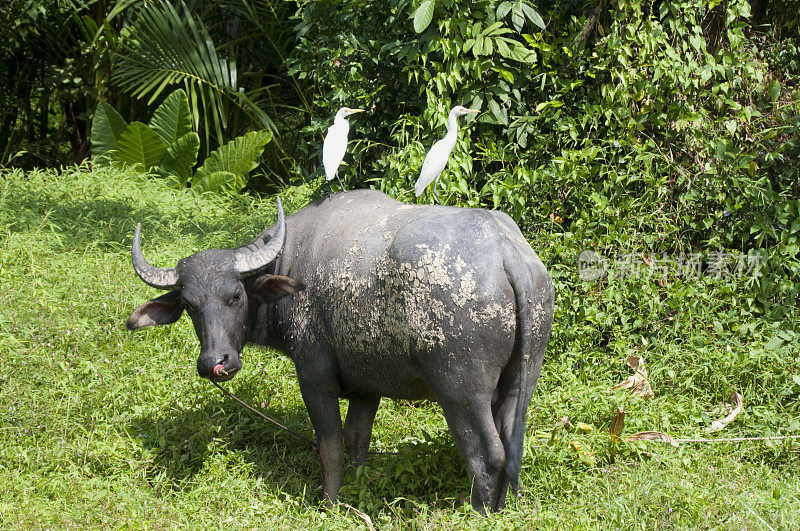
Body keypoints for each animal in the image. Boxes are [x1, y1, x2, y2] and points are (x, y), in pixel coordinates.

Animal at [128, 190, 552, 512]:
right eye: (190, 306)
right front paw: (359, 487)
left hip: (461, 392)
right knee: (512, 445)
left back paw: (479, 511)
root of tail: (505, 252)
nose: (215, 362)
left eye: (234, 296)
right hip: (521, 383)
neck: (291, 260)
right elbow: (357, 441)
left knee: (487, 456)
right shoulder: (367, 387)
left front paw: (329, 502)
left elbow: (329, 446)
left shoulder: (314, 380)